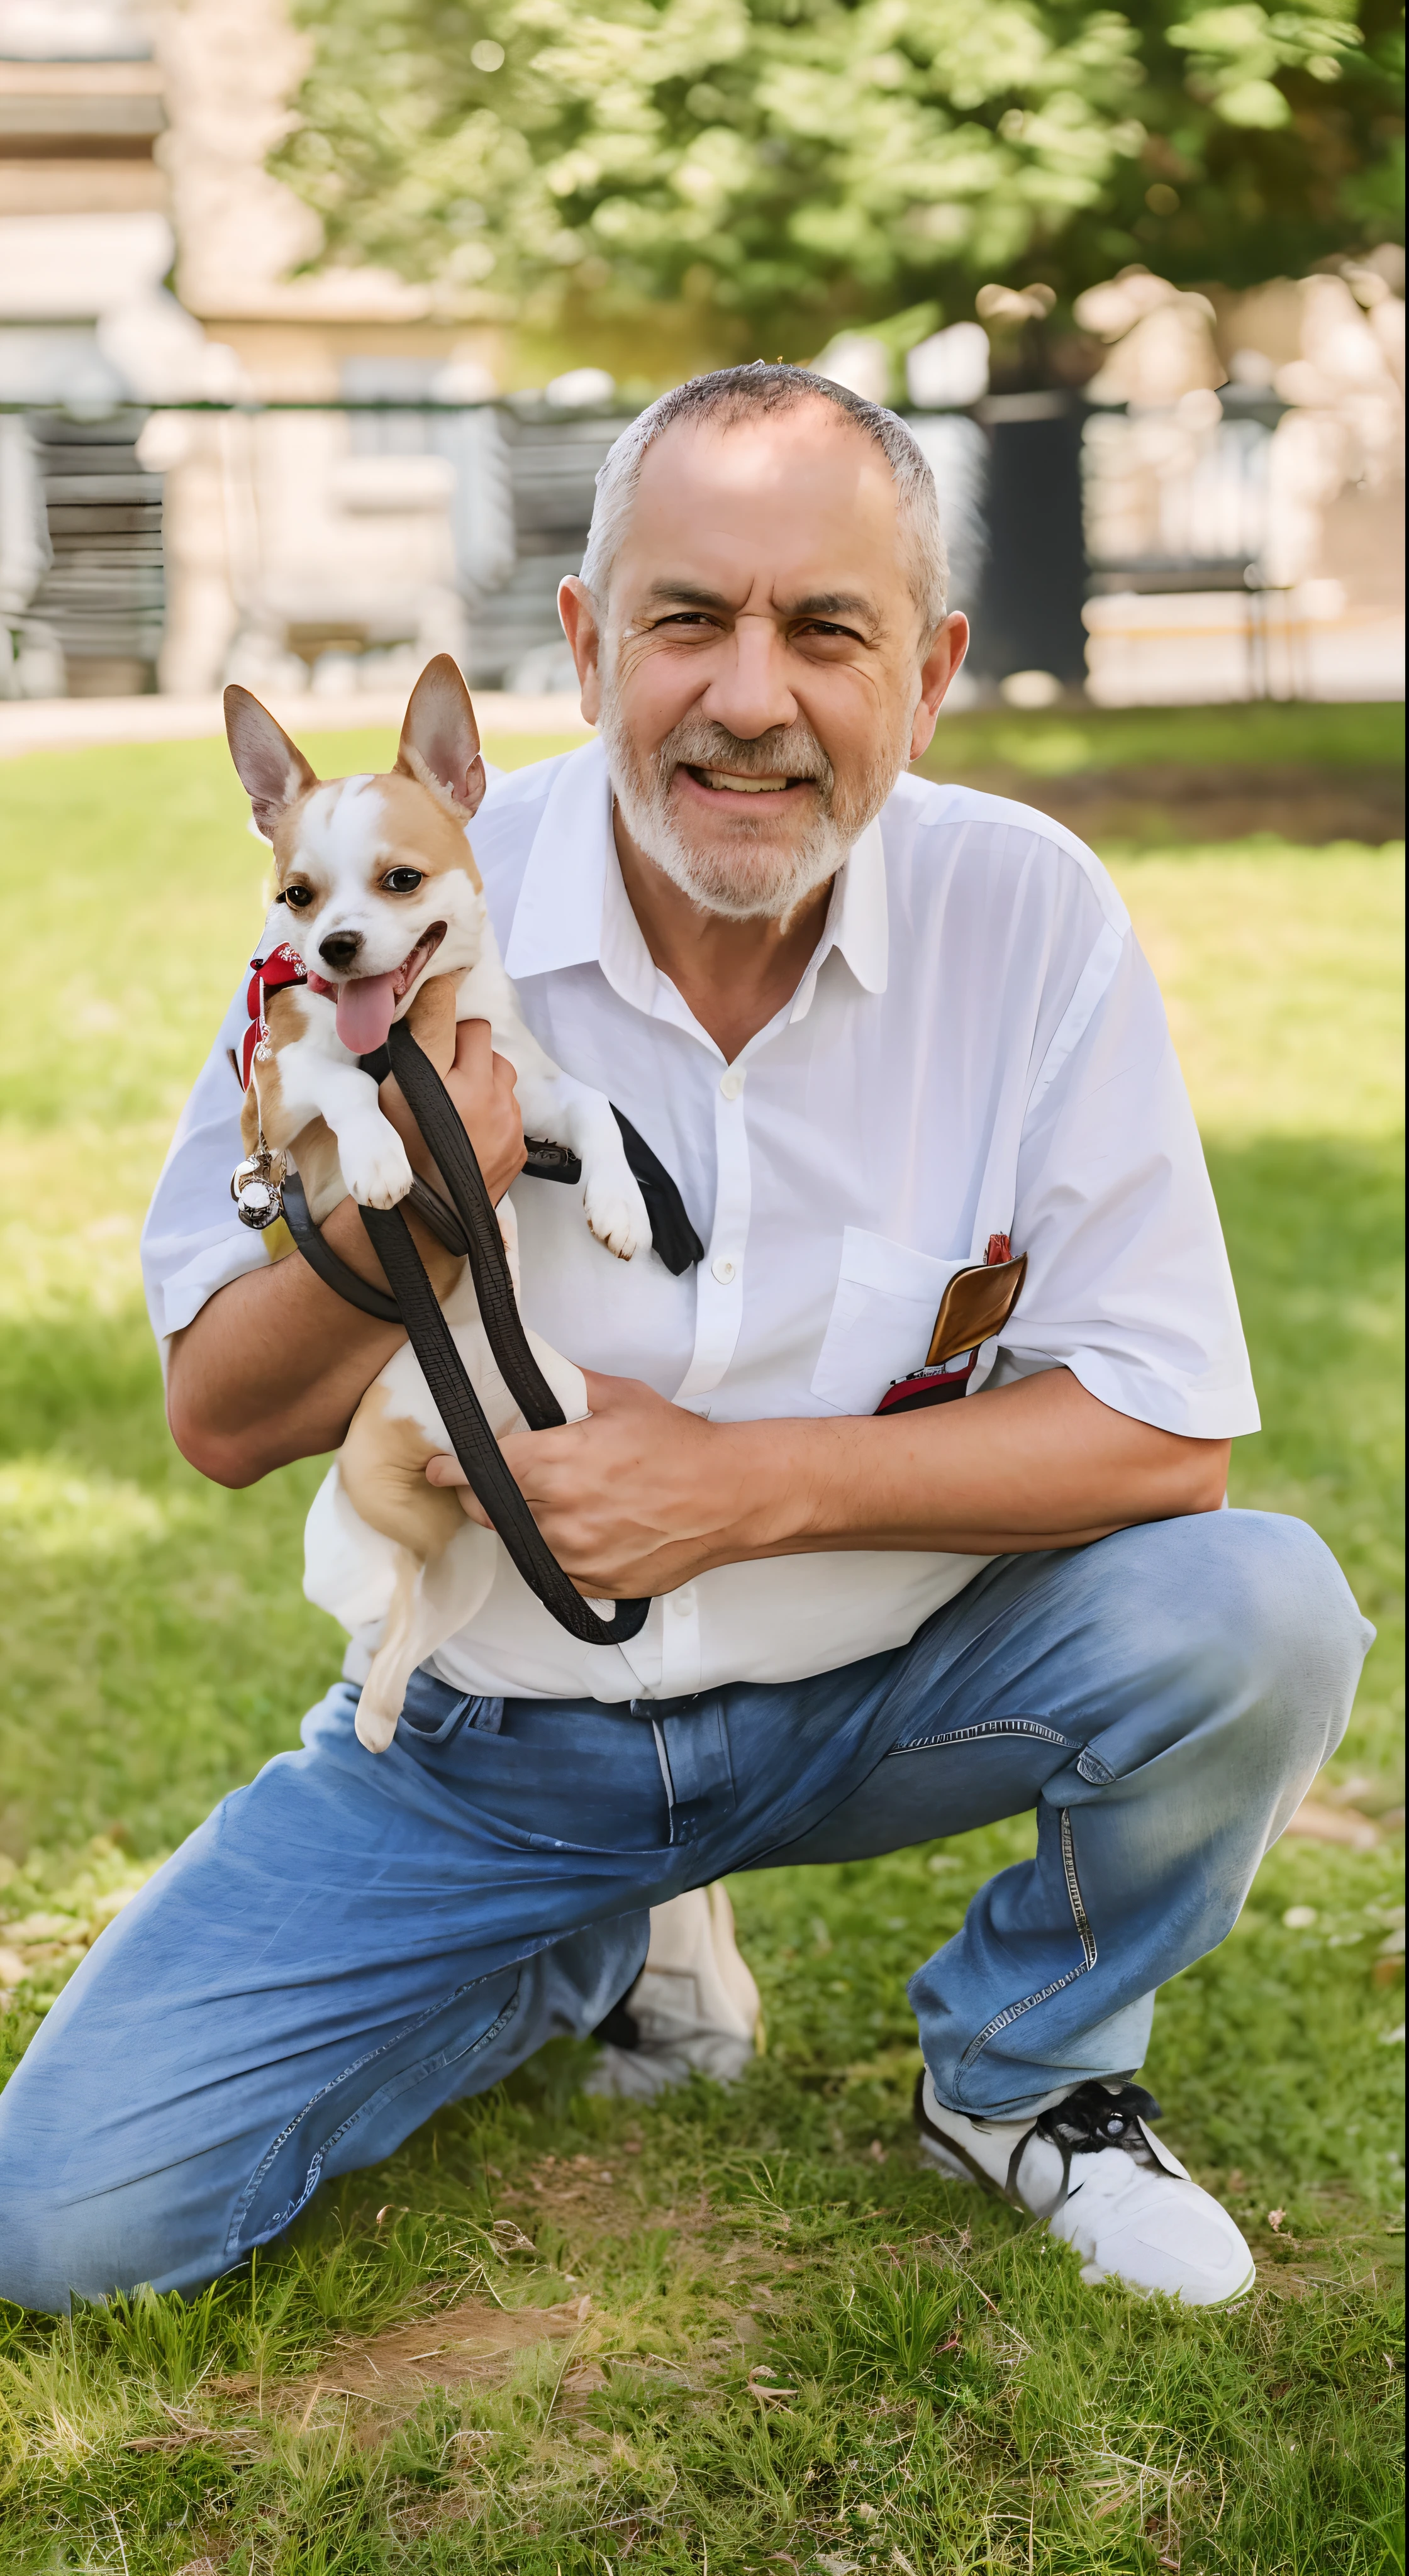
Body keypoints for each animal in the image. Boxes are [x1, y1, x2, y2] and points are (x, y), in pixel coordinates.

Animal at [228, 659, 657, 1752]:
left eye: (401, 882)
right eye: (297, 895)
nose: (336, 945)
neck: (405, 1038)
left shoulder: (526, 1090)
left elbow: (597, 1107)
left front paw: (621, 1209)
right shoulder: (283, 1095)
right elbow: (345, 1089)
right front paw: (383, 1160)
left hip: (497, 1506)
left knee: (414, 1623)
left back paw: (387, 1718)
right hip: (422, 1514)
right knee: (399, 1609)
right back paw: (382, 1728)